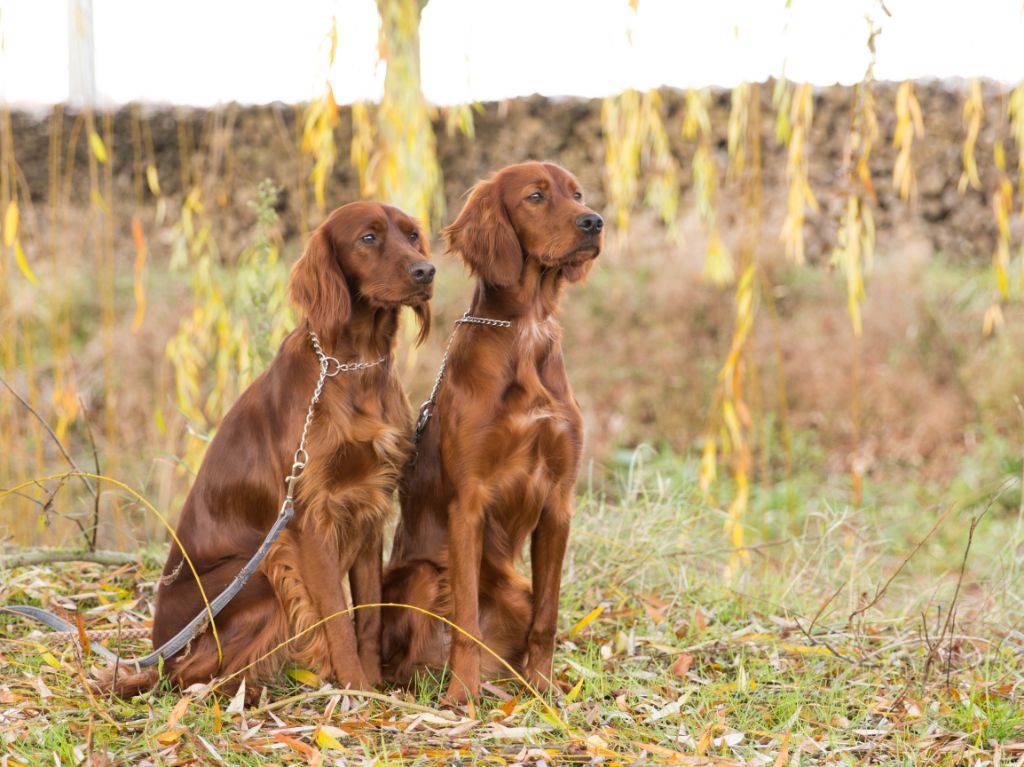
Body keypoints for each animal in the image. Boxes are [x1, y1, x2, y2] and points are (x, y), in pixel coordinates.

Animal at [131, 200, 432, 692]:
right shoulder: (310, 519)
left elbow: (368, 614)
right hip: (260, 571)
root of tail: (162, 651)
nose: (426, 271)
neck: (352, 367)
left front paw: (373, 685)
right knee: (192, 675)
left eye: (411, 236)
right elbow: (337, 618)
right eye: (367, 238)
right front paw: (355, 687)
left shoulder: (369, 508)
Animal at [385, 161, 606, 700]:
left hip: (516, 590)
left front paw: (543, 691)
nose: (594, 222)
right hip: (421, 575)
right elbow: (465, 619)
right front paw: (461, 698)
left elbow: (548, 618)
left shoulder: (557, 502)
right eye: (535, 197)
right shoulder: (469, 502)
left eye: (577, 194)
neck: (526, 330)